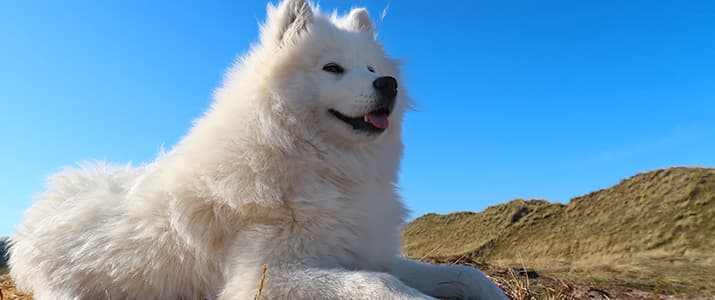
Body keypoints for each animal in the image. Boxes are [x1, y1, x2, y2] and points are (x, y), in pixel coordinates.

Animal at [7, 1, 510, 298]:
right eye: (332, 68)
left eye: (370, 68)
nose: (389, 84)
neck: (321, 167)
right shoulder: (267, 276)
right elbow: (382, 285)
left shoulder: (365, 249)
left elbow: (466, 274)